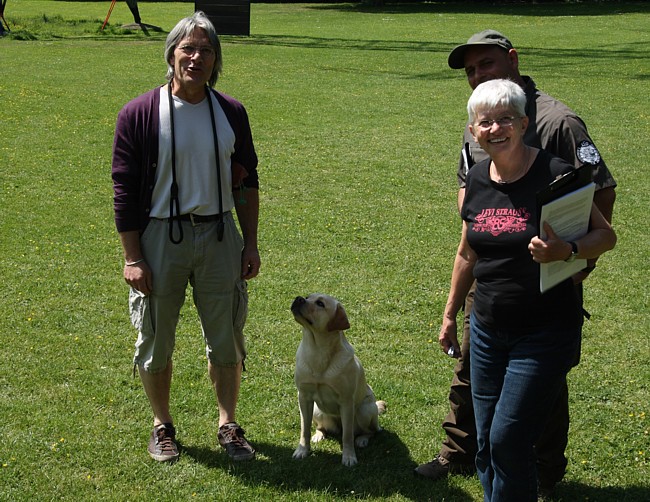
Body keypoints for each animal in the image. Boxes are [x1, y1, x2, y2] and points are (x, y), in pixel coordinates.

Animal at [292, 294, 388, 466]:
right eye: (308, 296)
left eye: (320, 303)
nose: (298, 298)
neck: (318, 351)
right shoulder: (303, 397)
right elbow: (304, 429)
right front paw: (302, 450)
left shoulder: (346, 401)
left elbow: (347, 436)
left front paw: (349, 457)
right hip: (317, 410)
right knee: (321, 427)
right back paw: (319, 435)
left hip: (363, 411)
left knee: (371, 431)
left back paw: (362, 439)